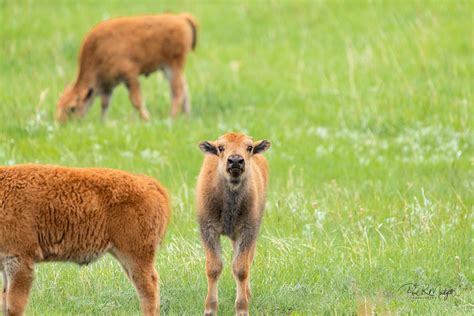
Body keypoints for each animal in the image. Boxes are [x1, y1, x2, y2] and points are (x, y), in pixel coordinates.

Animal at [56, 13, 197, 122]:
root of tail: (180, 18)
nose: (61, 123)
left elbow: (136, 100)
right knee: (184, 89)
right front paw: (103, 122)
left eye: (72, 108)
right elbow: (105, 104)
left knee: (177, 92)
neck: (96, 52)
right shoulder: (108, 85)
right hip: (169, 69)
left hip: (172, 66)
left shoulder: (129, 76)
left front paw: (147, 119)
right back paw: (186, 117)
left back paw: (171, 118)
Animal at [195, 132, 270, 314]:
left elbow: (241, 268)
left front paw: (242, 309)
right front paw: (210, 309)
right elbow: (213, 267)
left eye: (249, 147)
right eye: (220, 147)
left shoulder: (247, 230)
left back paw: (247, 294)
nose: (235, 160)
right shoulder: (208, 230)